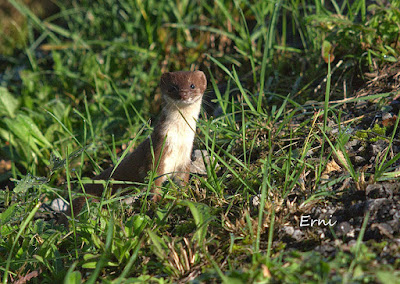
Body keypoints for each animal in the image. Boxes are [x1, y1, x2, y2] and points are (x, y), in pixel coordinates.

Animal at [67, 71, 206, 217]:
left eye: (192, 85)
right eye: (173, 87)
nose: (183, 94)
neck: (178, 141)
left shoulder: (185, 157)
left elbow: (183, 179)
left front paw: (185, 195)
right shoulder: (157, 151)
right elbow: (154, 180)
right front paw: (156, 204)